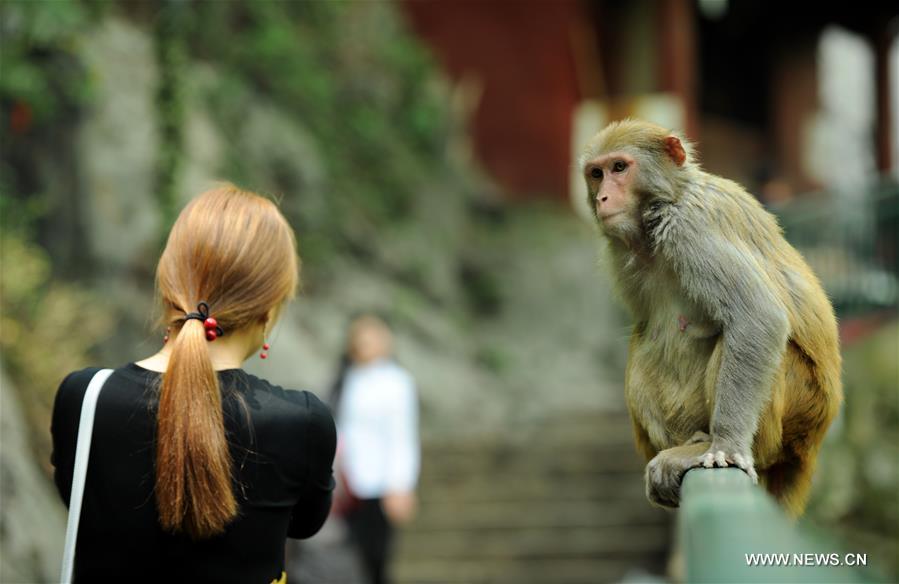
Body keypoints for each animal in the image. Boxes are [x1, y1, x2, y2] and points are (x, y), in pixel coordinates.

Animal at [580, 119, 842, 517]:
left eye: (619, 168)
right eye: (597, 174)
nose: (602, 198)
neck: (665, 204)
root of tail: (811, 443)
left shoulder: (690, 228)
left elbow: (756, 316)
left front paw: (728, 446)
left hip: (799, 405)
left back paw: (714, 445)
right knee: (643, 340)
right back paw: (689, 441)